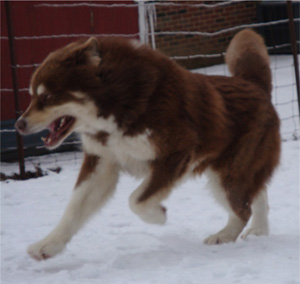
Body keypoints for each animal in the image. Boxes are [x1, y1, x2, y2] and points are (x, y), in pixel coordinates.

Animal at [15, 30, 280, 260]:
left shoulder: (176, 153)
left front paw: (158, 216)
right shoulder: (102, 162)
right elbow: (74, 209)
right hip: (240, 169)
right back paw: (259, 230)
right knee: (258, 196)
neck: (118, 102)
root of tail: (253, 84)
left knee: (242, 208)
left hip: (227, 173)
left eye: (47, 97)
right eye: (32, 96)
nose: (19, 124)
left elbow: (136, 200)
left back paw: (224, 236)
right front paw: (48, 245)